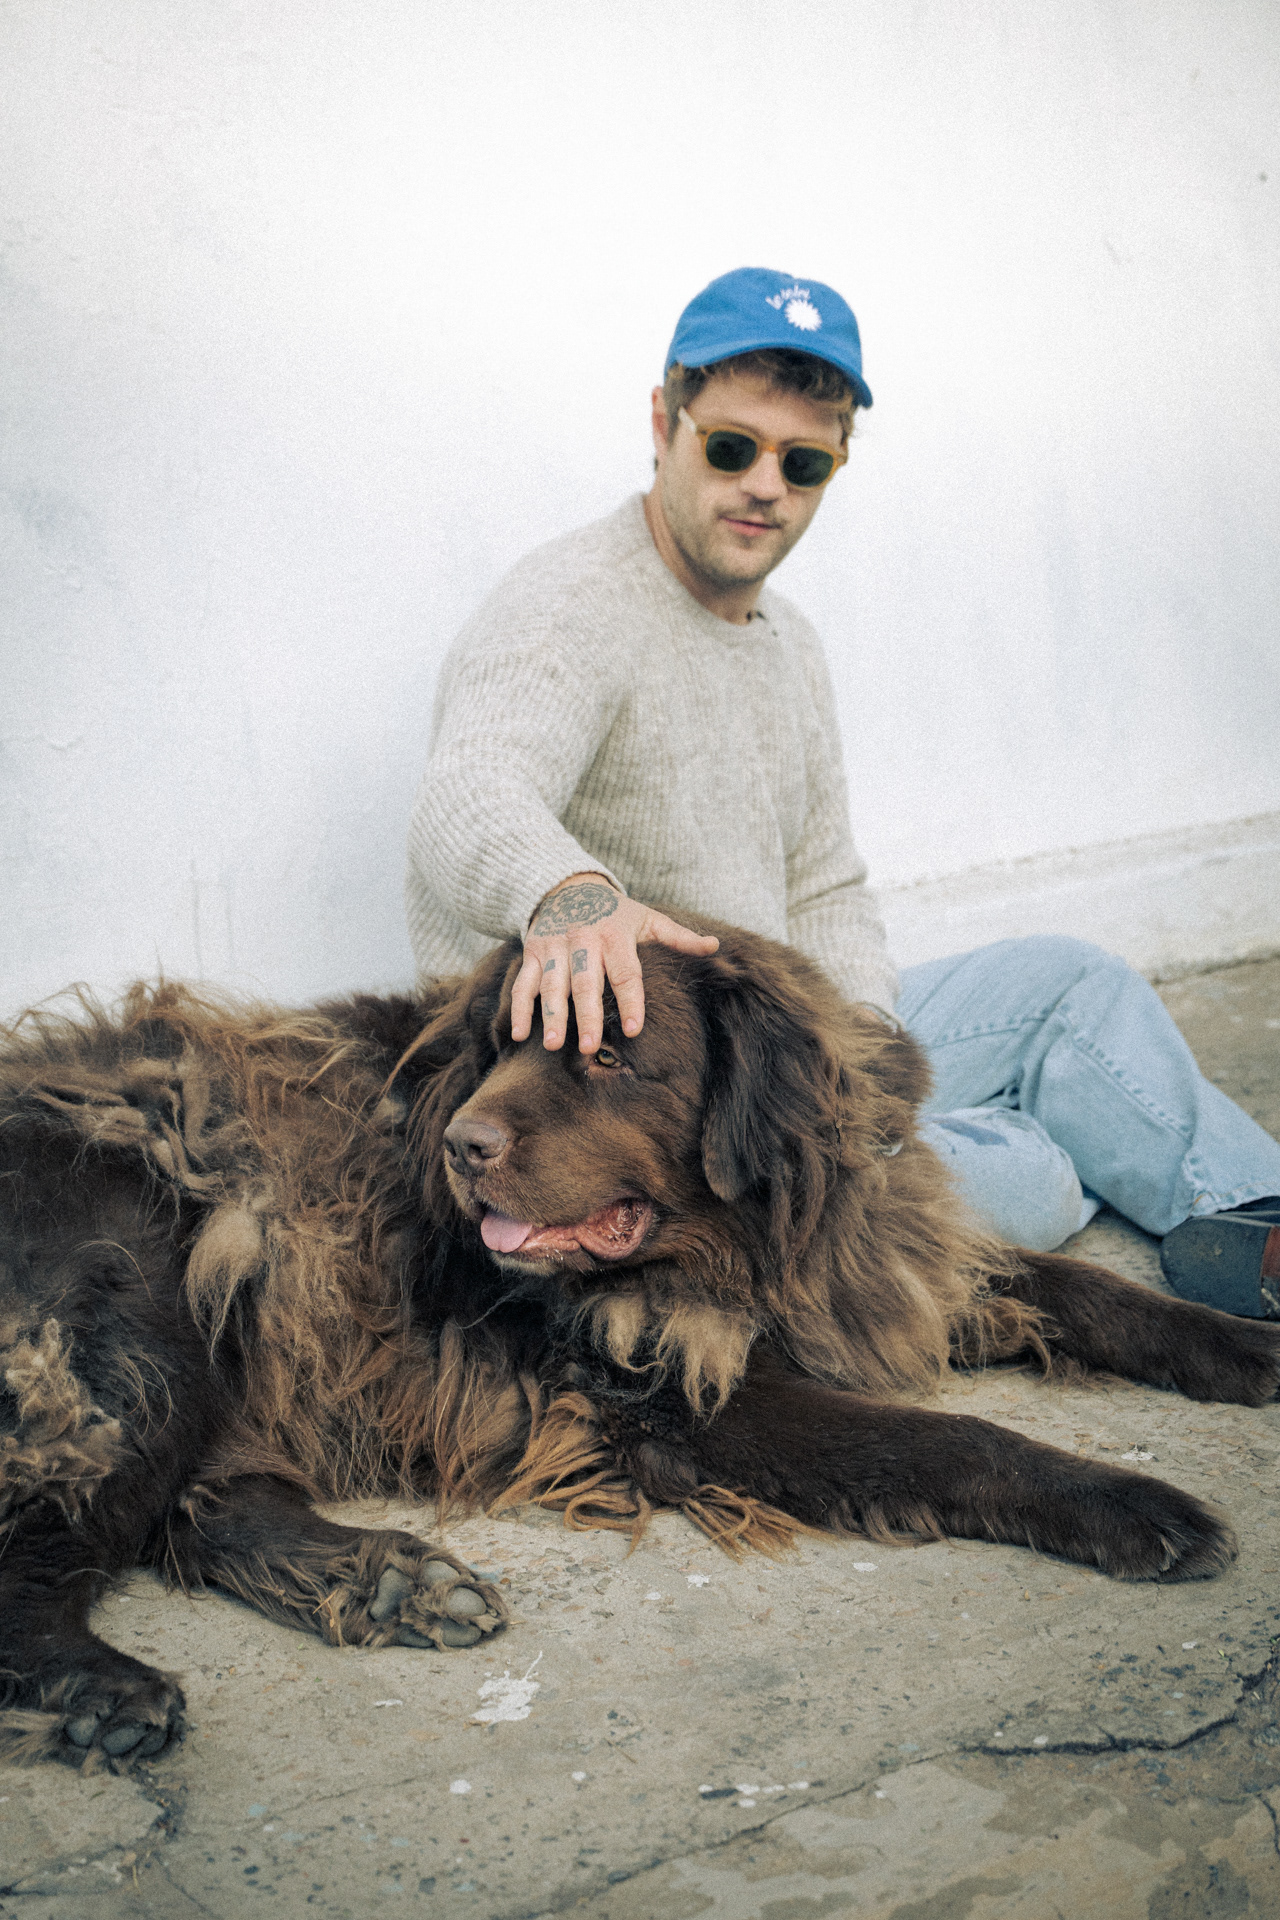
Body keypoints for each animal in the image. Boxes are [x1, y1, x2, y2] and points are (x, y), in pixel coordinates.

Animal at [2, 921, 1278, 1768]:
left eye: (608, 1057)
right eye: (500, 1047)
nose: (460, 1145)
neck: (734, 1244)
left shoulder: (869, 1269)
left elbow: (1086, 1287)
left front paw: (1236, 1342)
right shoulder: (684, 1401)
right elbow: (955, 1438)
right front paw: (1133, 1506)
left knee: (206, 1510)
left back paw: (389, 1582)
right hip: (140, 1310)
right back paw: (108, 1691)